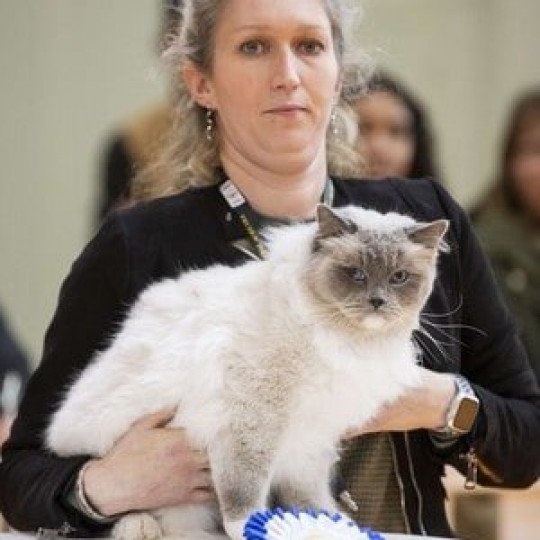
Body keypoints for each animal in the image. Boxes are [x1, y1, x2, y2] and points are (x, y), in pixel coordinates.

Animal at [46, 204, 450, 540]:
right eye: (355, 274)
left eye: (399, 277)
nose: (377, 302)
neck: (345, 340)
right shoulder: (253, 420)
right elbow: (244, 495)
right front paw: (258, 529)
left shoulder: (311, 437)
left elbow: (309, 498)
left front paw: (324, 526)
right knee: (120, 509)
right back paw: (140, 527)